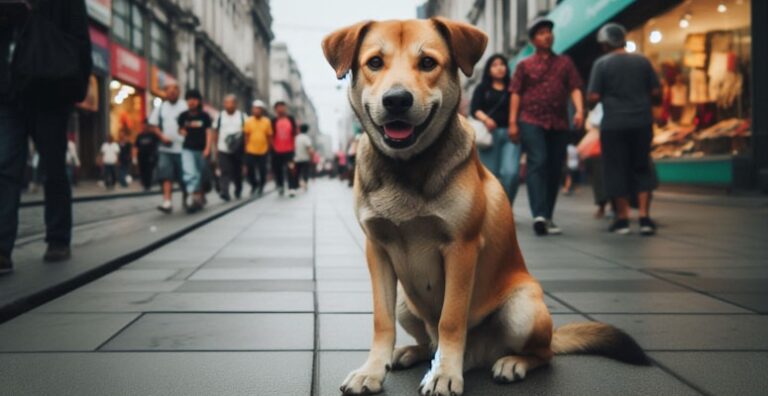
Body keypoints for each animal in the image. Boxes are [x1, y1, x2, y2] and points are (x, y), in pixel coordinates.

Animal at [320, 18, 652, 396]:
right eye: (375, 62)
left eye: (428, 63)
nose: (397, 101)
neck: (408, 167)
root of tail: (477, 355)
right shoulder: (377, 250)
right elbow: (381, 320)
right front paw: (373, 370)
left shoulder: (461, 249)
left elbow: (451, 319)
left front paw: (445, 374)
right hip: (406, 301)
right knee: (427, 340)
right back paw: (409, 352)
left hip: (523, 308)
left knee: (543, 353)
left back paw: (511, 362)